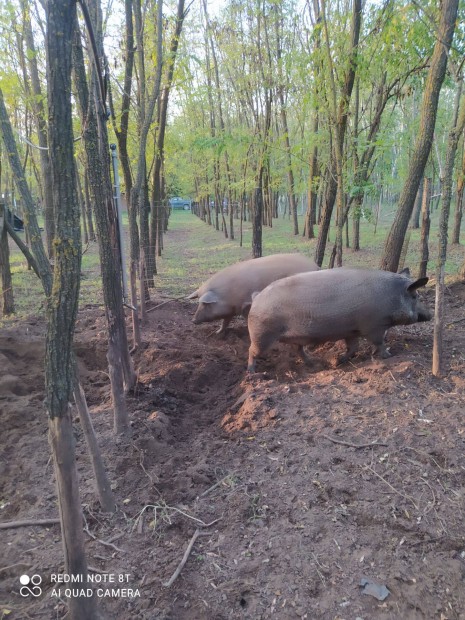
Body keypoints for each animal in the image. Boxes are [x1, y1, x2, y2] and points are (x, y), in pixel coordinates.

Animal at [186, 254, 320, 336]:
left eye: (205, 304)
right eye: (198, 303)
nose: (193, 320)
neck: (228, 295)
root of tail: (316, 266)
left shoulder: (246, 304)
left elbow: (248, 318)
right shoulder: (231, 310)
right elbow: (225, 322)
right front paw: (217, 333)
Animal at [246, 268, 432, 372]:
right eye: (415, 296)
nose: (430, 315)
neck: (389, 297)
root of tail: (256, 297)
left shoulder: (352, 331)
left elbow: (353, 347)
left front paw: (338, 363)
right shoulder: (373, 326)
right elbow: (379, 342)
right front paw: (388, 355)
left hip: (293, 338)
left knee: (298, 351)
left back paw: (314, 364)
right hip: (262, 334)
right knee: (251, 350)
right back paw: (251, 372)